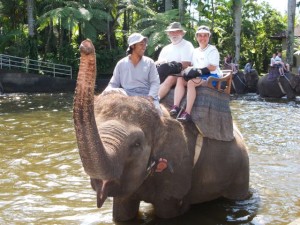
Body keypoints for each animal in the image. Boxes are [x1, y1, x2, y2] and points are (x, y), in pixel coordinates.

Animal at [73, 40, 251, 221]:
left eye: (137, 144)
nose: (85, 46)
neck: (162, 119)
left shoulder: (179, 169)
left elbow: (168, 212)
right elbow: (122, 211)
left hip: (241, 172)